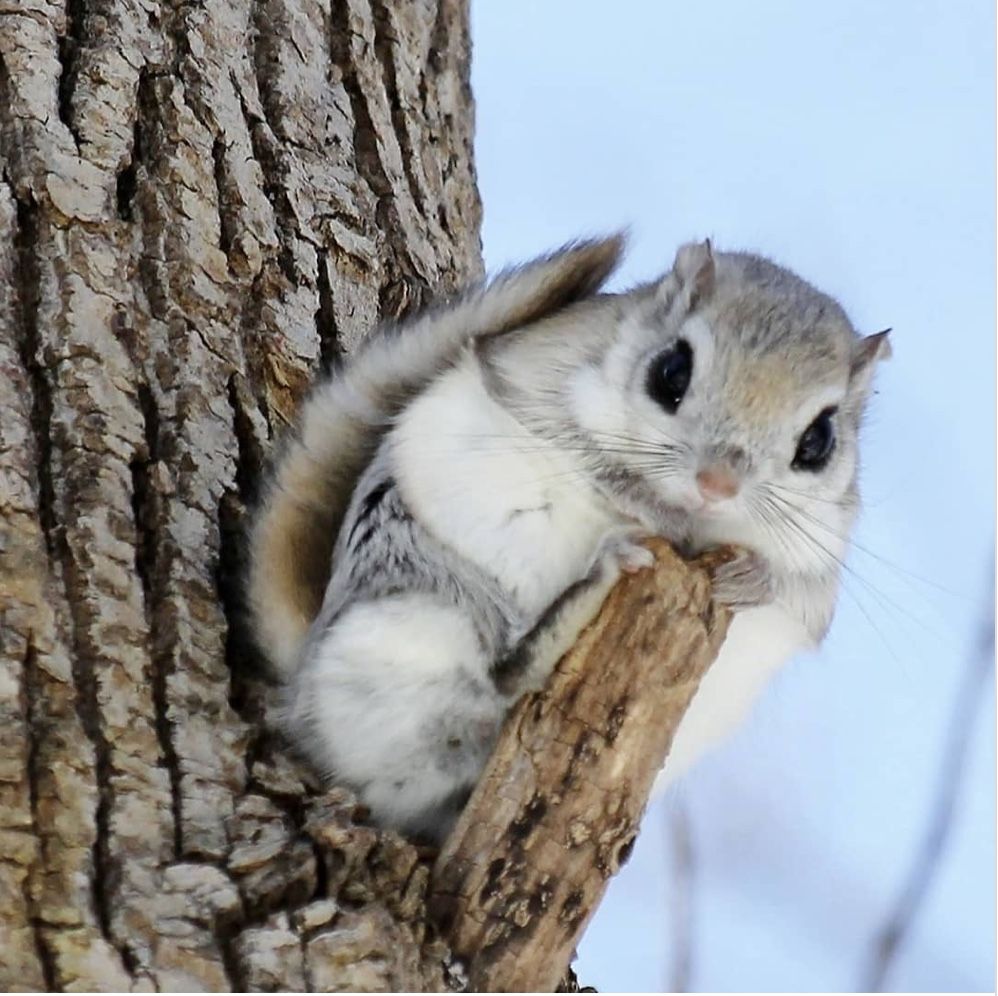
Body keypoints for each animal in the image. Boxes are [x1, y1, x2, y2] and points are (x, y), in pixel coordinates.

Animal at [248, 235, 889, 841]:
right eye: (671, 372)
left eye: (819, 440)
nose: (717, 484)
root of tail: (301, 690)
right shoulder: (535, 383)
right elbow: (596, 463)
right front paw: (657, 510)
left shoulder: (822, 556)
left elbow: (797, 587)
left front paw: (753, 577)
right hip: (422, 605)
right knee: (506, 674)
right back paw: (592, 584)